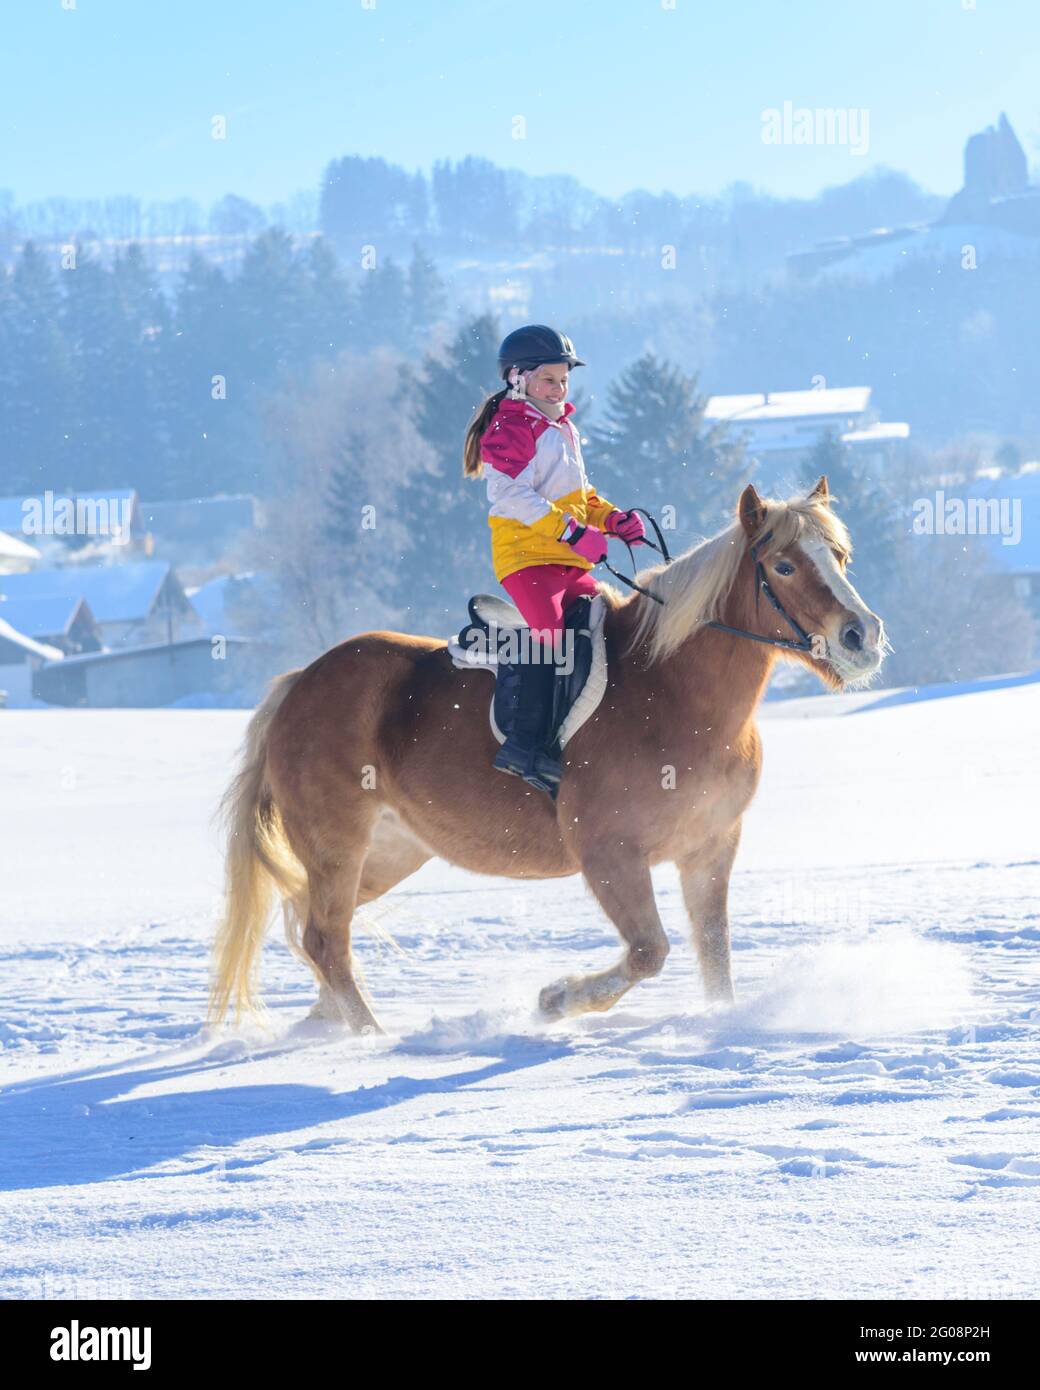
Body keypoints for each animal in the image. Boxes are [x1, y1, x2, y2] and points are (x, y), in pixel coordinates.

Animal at [208, 478, 884, 1034]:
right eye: (784, 565)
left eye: (841, 557)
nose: (863, 637)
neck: (671, 692)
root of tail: (300, 682)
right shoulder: (610, 855)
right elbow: (649, 951)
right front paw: (556, 999)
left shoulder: (710, 849)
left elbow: (714, 957)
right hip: (338, 846)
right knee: (325, 939)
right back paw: (371, 1038)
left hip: (389, 851)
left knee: (311, 924)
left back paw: (325, 1021)